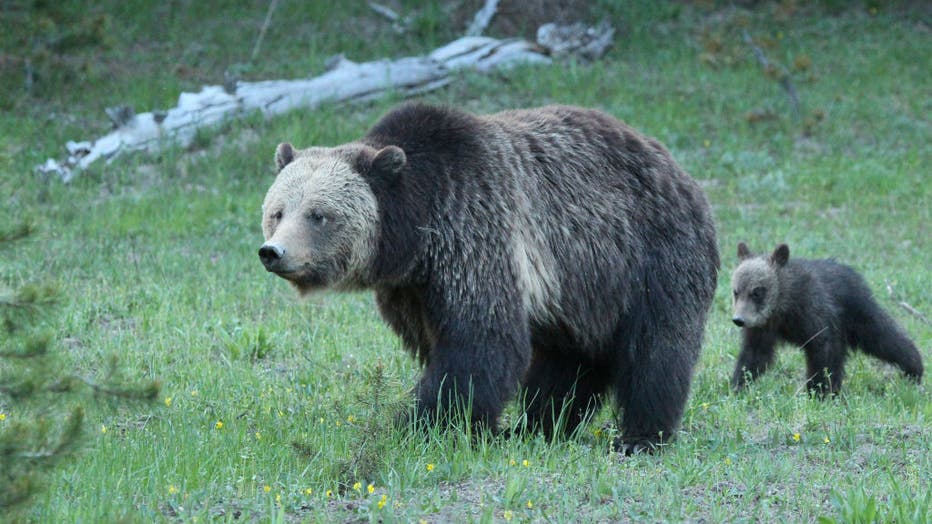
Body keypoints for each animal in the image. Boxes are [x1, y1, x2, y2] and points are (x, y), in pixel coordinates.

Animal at [258, 102, 716, 450]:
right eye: (278, 211)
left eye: (318, 215)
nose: (273, 252)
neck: (416, 231)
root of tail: (678, 169)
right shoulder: (412, 289)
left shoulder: (475, 233)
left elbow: (479, 341)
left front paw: (427, 425)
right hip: (581, 289)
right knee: (569, 361)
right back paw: (540, 426)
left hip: (649, 256)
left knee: (656, 350)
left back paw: (640, 437)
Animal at [732, 244, 920, 396]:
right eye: (736, 291)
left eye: (757, 291)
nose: (738, 320)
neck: (783, 306)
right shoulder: (762, 326)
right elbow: (754, 355)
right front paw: (737, 385)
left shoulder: (816, 315)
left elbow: (823, 352)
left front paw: (819, 392)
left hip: (858, 314)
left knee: (883, 337)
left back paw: (914, 368)